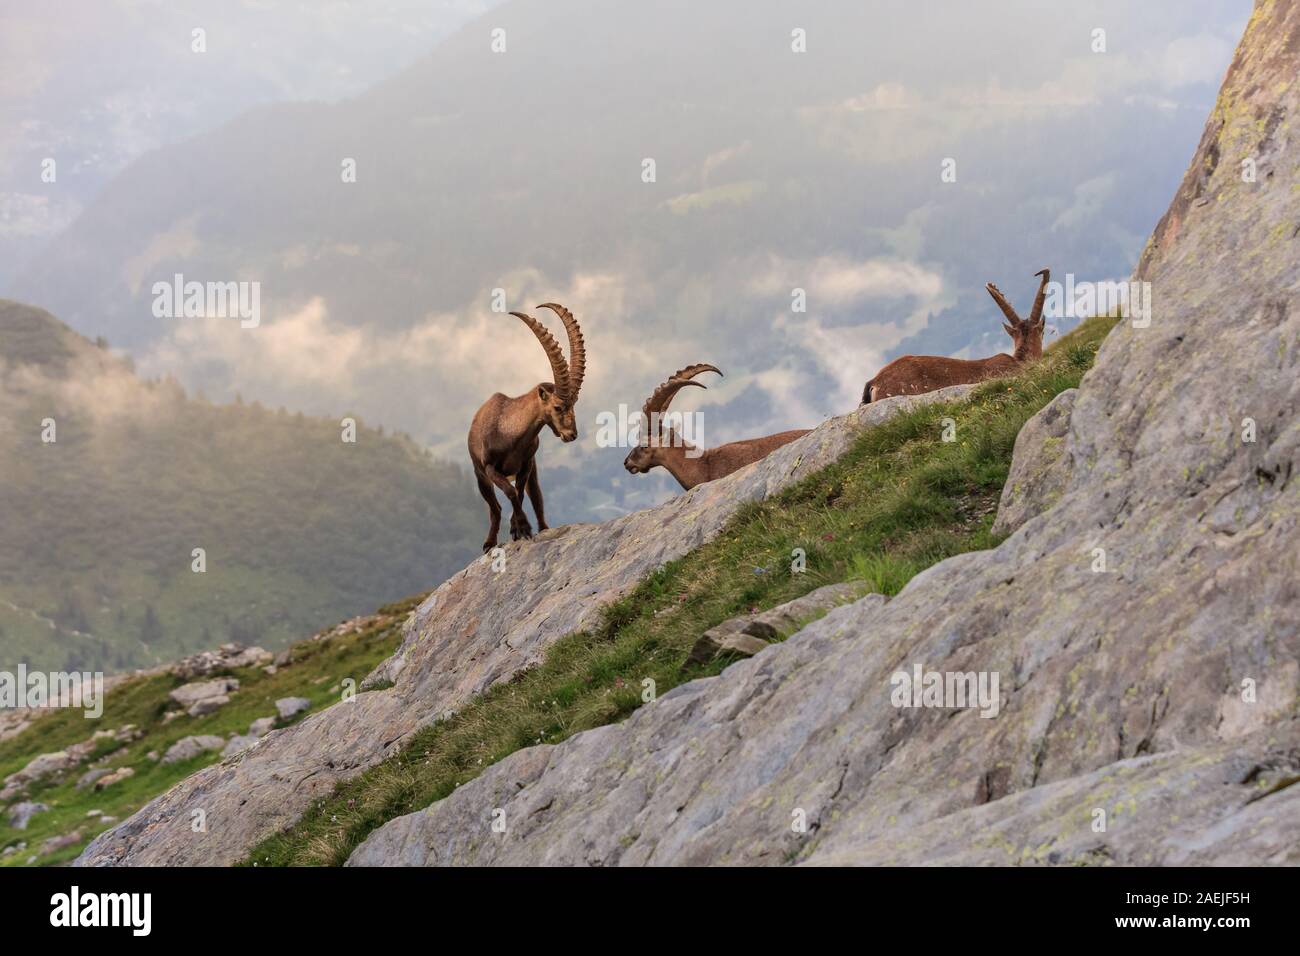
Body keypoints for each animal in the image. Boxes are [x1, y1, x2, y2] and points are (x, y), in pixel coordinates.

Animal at [468, 303, 586, 551]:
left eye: (574, 405)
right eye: (558, 407)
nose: (571, 435)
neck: (509, 431)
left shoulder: (526, 464)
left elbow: (520, 494)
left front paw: (518, 529)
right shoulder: (490, 468)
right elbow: (511, 493)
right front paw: (521, 528)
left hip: (533, 471)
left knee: (537, 499)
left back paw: (543, 527)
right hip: (480, 476)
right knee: (494, 509)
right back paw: (489, 543)